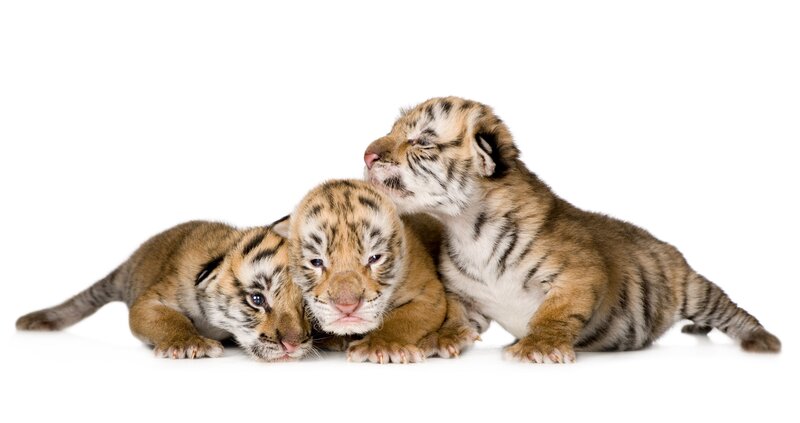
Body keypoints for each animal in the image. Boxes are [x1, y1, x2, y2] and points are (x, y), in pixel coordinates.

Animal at [16, 221, 313, 362]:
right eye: (257, 299)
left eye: (306, 307)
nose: (293, 344)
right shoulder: (149, 303)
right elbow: (170, 319)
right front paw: (188, 344)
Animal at [272, 179, 471, 363]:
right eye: (316, 262)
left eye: (374, 258)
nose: (347, 305)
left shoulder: (429, 292)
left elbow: (403, 318)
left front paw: (383, 345)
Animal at [363, 96, 781, 363]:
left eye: (421, 141)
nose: (367, 154)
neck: (468, 228)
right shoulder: (466, 298)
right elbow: (453, 317)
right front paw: (437, 339)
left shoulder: (579, 275)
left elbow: (555, 314)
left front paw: (538, 347)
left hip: (694, 288)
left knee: (731, 310)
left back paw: (763, 340)